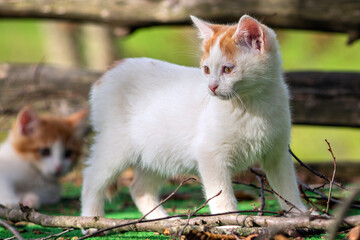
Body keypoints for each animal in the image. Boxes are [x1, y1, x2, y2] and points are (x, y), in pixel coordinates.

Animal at [81, 15, 306, 221]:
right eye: (206, 69)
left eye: (228, 69)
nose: (211, 87)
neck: (251, 104)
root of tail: (112, 68)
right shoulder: (211, 155)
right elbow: (222, 196)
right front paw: (229, 221)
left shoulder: (278, 153)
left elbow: (287, 187)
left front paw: (299, 214)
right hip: (116, 145)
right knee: (92, 178)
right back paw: (91, 220)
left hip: (158, 151)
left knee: (139, 188)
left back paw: (162, 220)